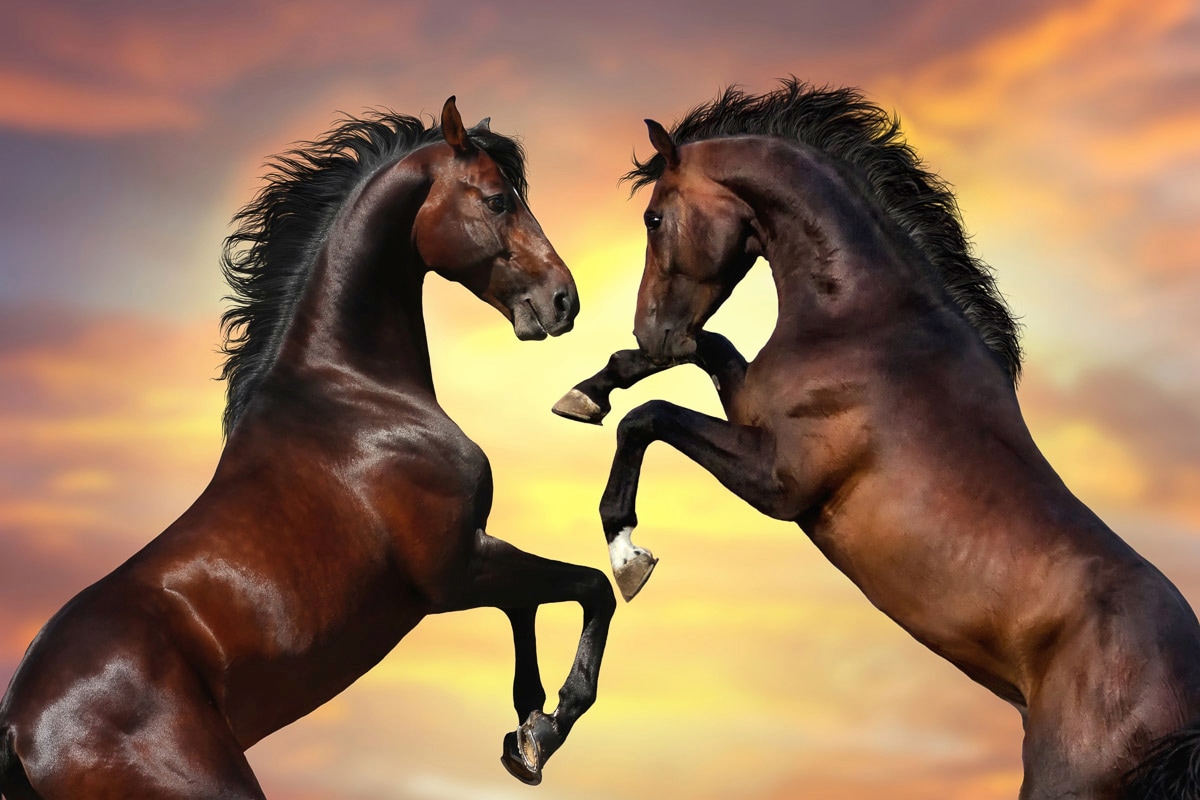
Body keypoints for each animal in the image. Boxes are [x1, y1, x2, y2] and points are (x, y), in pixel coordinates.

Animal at [0, 97, 614, 799]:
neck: (354, 393)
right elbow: (591, 586)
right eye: (496, 201)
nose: (563, 300)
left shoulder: (473, 560)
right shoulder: (457, 569)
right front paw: (550, 726)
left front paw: (527, 736)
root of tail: (18, 728)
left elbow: (532, 609)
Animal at [553, 80, 1200, 799]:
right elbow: (702, 350)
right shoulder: (747, 406)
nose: (649, 329)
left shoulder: (778, 480)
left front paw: (627, 555)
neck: (866, 321)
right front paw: (589, 390)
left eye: (654, 219)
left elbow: (649, 417)